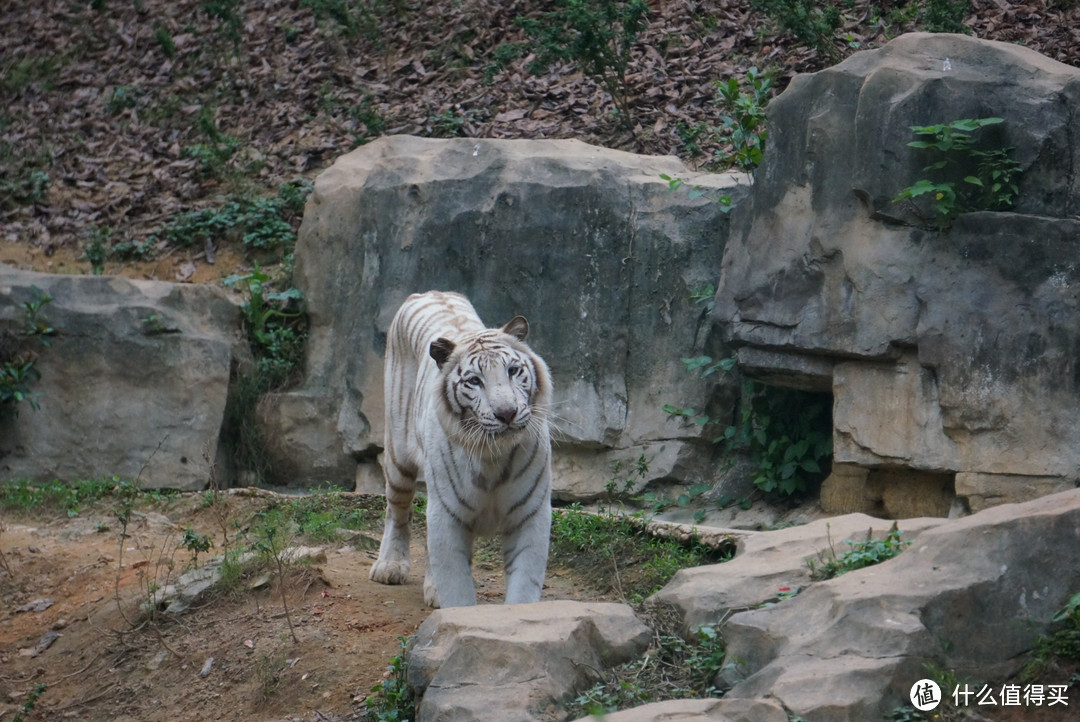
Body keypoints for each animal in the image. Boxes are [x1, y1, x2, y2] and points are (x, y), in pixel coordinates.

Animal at [371, 289, 557, 604]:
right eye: (474, 381)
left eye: (513, 370)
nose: (506, 413)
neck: (494, 457)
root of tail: (429, 292)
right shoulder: (448, 514)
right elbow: (455, 584)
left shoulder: (530, 514)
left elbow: (524, 584)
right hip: (399, 457)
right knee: (397, 511)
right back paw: (390, 566)